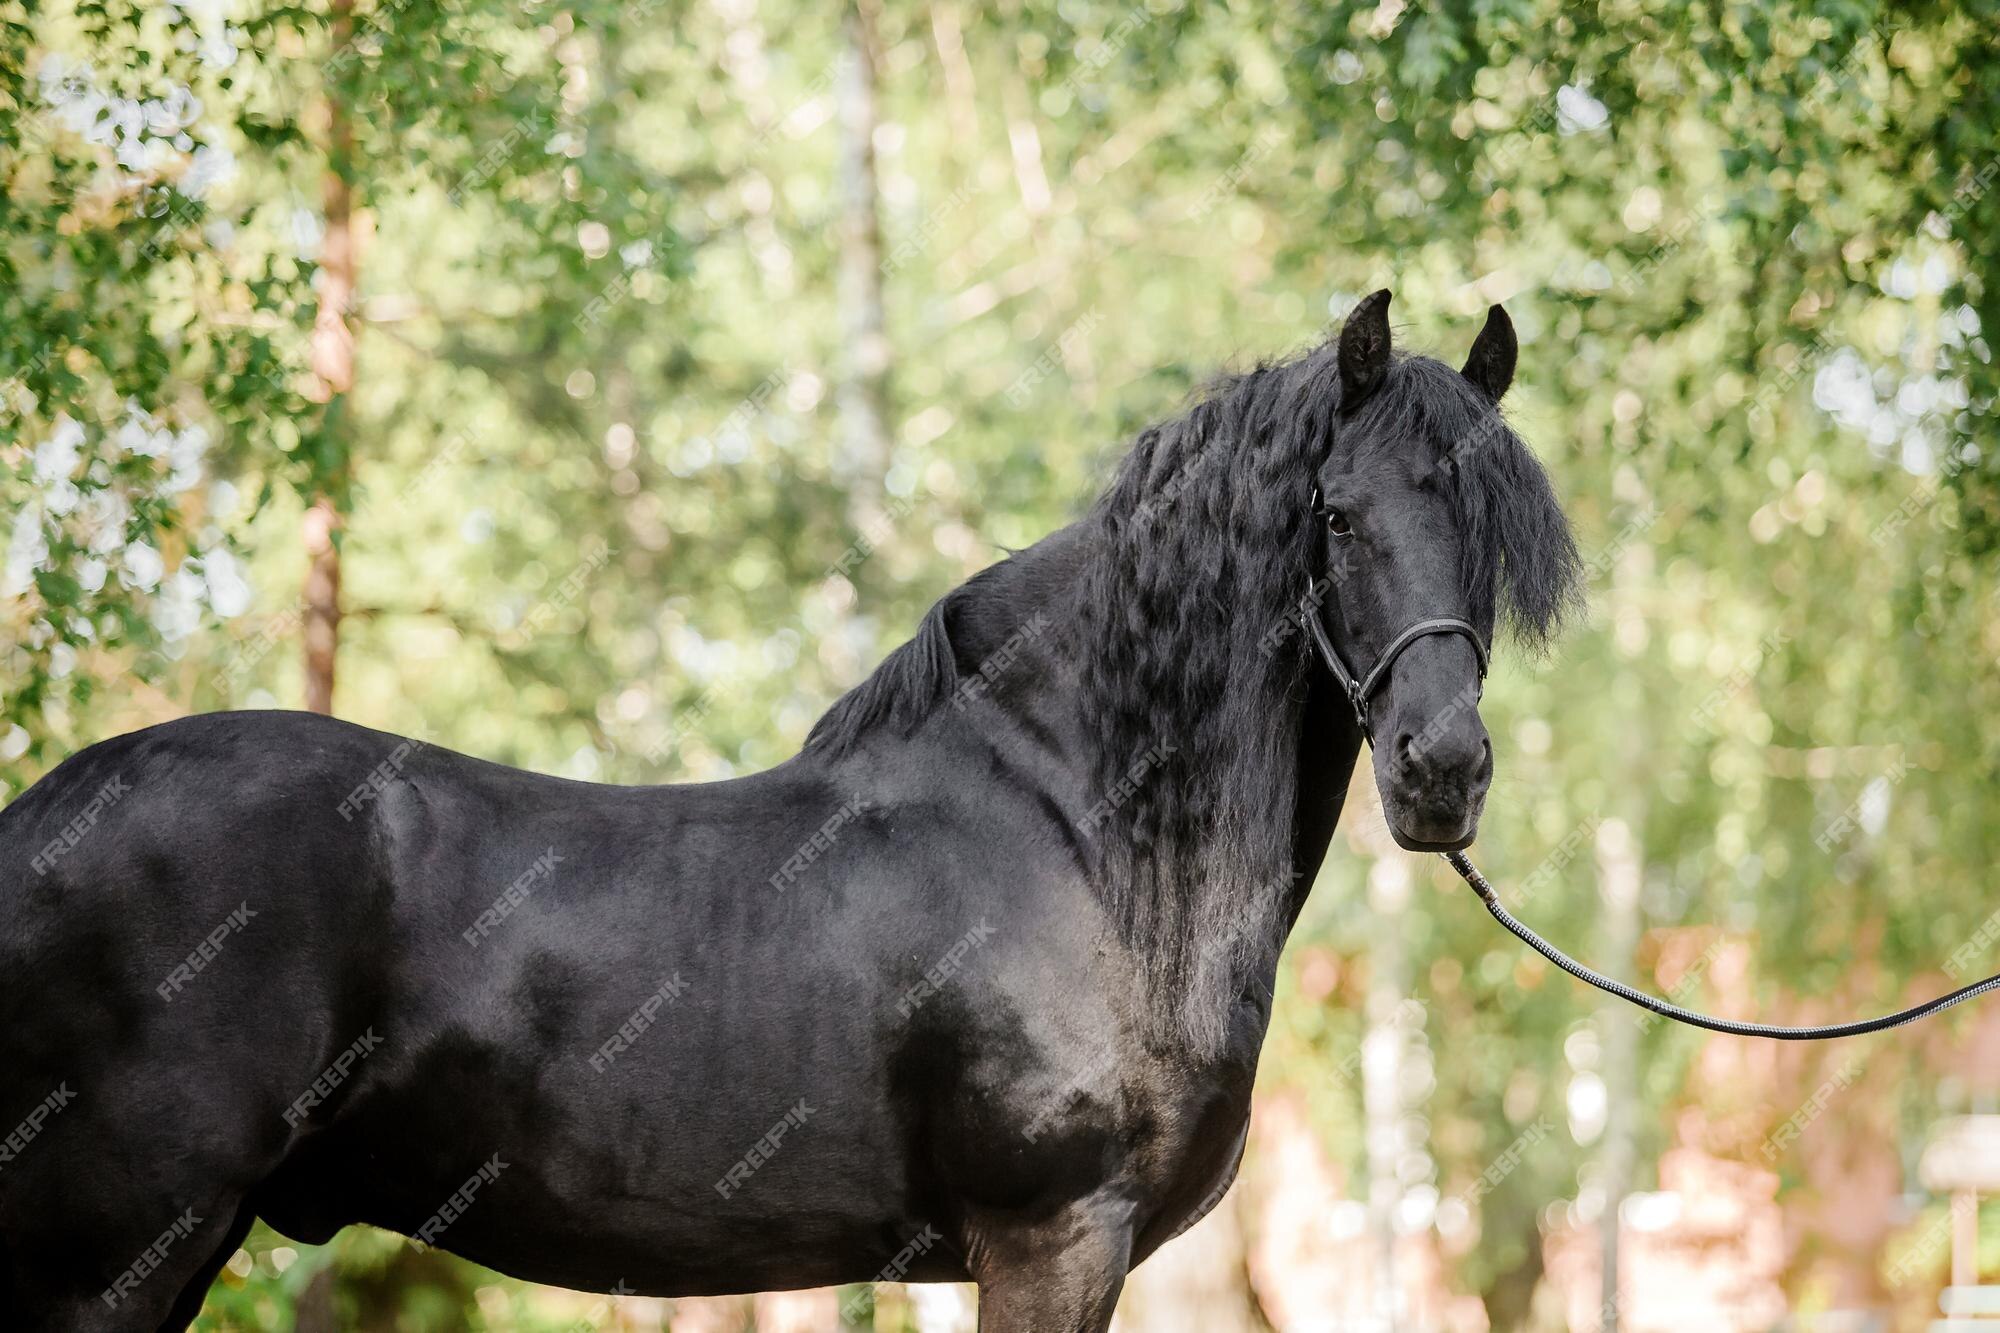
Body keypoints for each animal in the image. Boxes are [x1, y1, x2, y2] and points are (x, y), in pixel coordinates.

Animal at [3, 294, 1576, 1328]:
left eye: (1490, 535)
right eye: (1336, 516)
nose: (1442, 768)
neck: (1080, 836)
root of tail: (45, 814)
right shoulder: (1052, 1237)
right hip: (118, 1246)